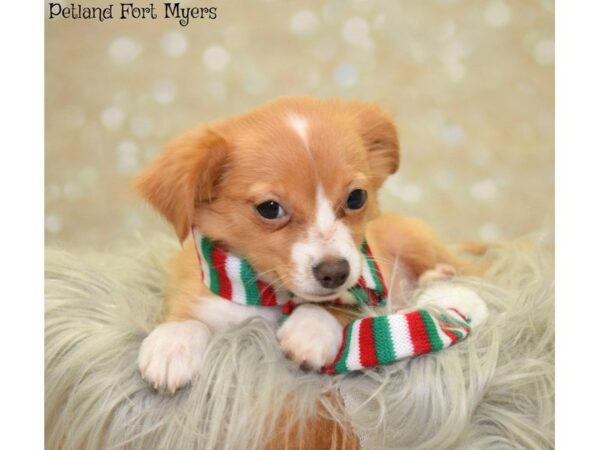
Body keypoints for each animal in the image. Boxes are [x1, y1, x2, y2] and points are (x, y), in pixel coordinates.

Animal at [136, 96, 468, 392]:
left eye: (356, 197)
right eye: (270, 208)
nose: (335, 273)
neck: (272, 298)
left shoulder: (370, 293)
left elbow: (338, 306)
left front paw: (311, 328)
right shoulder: (203, 294)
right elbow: (189, 315)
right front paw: (173, 342)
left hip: (415, 238)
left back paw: (438, 277)